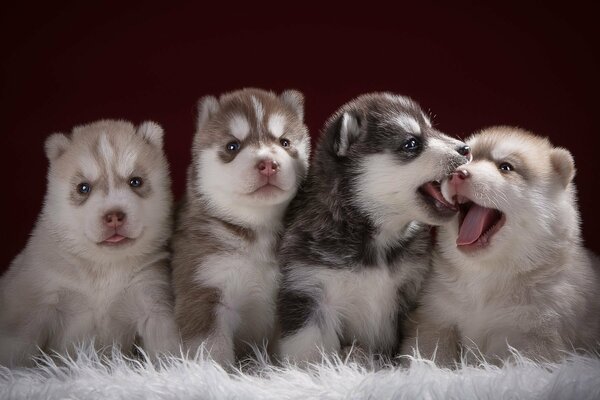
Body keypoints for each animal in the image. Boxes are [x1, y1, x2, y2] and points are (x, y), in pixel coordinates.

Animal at [0, 119, 179, 366]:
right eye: (83, 188)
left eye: (136, 181)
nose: (114, 215)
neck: (104, 266)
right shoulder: (35, 303)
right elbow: (16, 349)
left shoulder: (152, 301)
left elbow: (166, 349)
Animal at [170, 88, 308, 366]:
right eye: (232, 146)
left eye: (285, 143)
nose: (268, 164)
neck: (259, 229)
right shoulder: (204, 288)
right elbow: (212, 350)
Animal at [276, 92, 468, 360]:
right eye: (411, 143)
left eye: (433, 129)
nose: (466, 148)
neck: (377, 238)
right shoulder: (309, 291)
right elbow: (310, 351)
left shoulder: (414, 290)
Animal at [404, 126, 600, 364]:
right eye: (466, 159)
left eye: (505, 167)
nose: (458, 174)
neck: (485, 274)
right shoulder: (435, 317)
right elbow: (431, 353)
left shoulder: (534, 334)